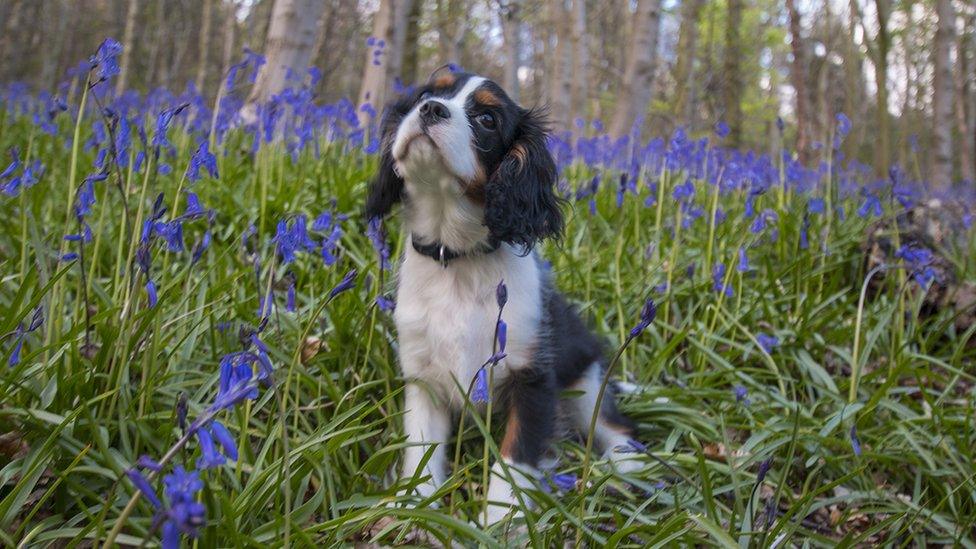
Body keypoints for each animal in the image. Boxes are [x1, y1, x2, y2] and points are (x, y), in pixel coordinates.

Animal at [366, 70, 640, 524]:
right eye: (427, 93)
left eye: (487, 120)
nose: (431, 109)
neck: (457, 259)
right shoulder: (424, 379)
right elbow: (421, 448)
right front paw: (415, 509)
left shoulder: (533, 375)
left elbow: (515, 455)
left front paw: (501, 520)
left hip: (586, 383)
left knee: (613, 427)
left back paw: (629, 467)